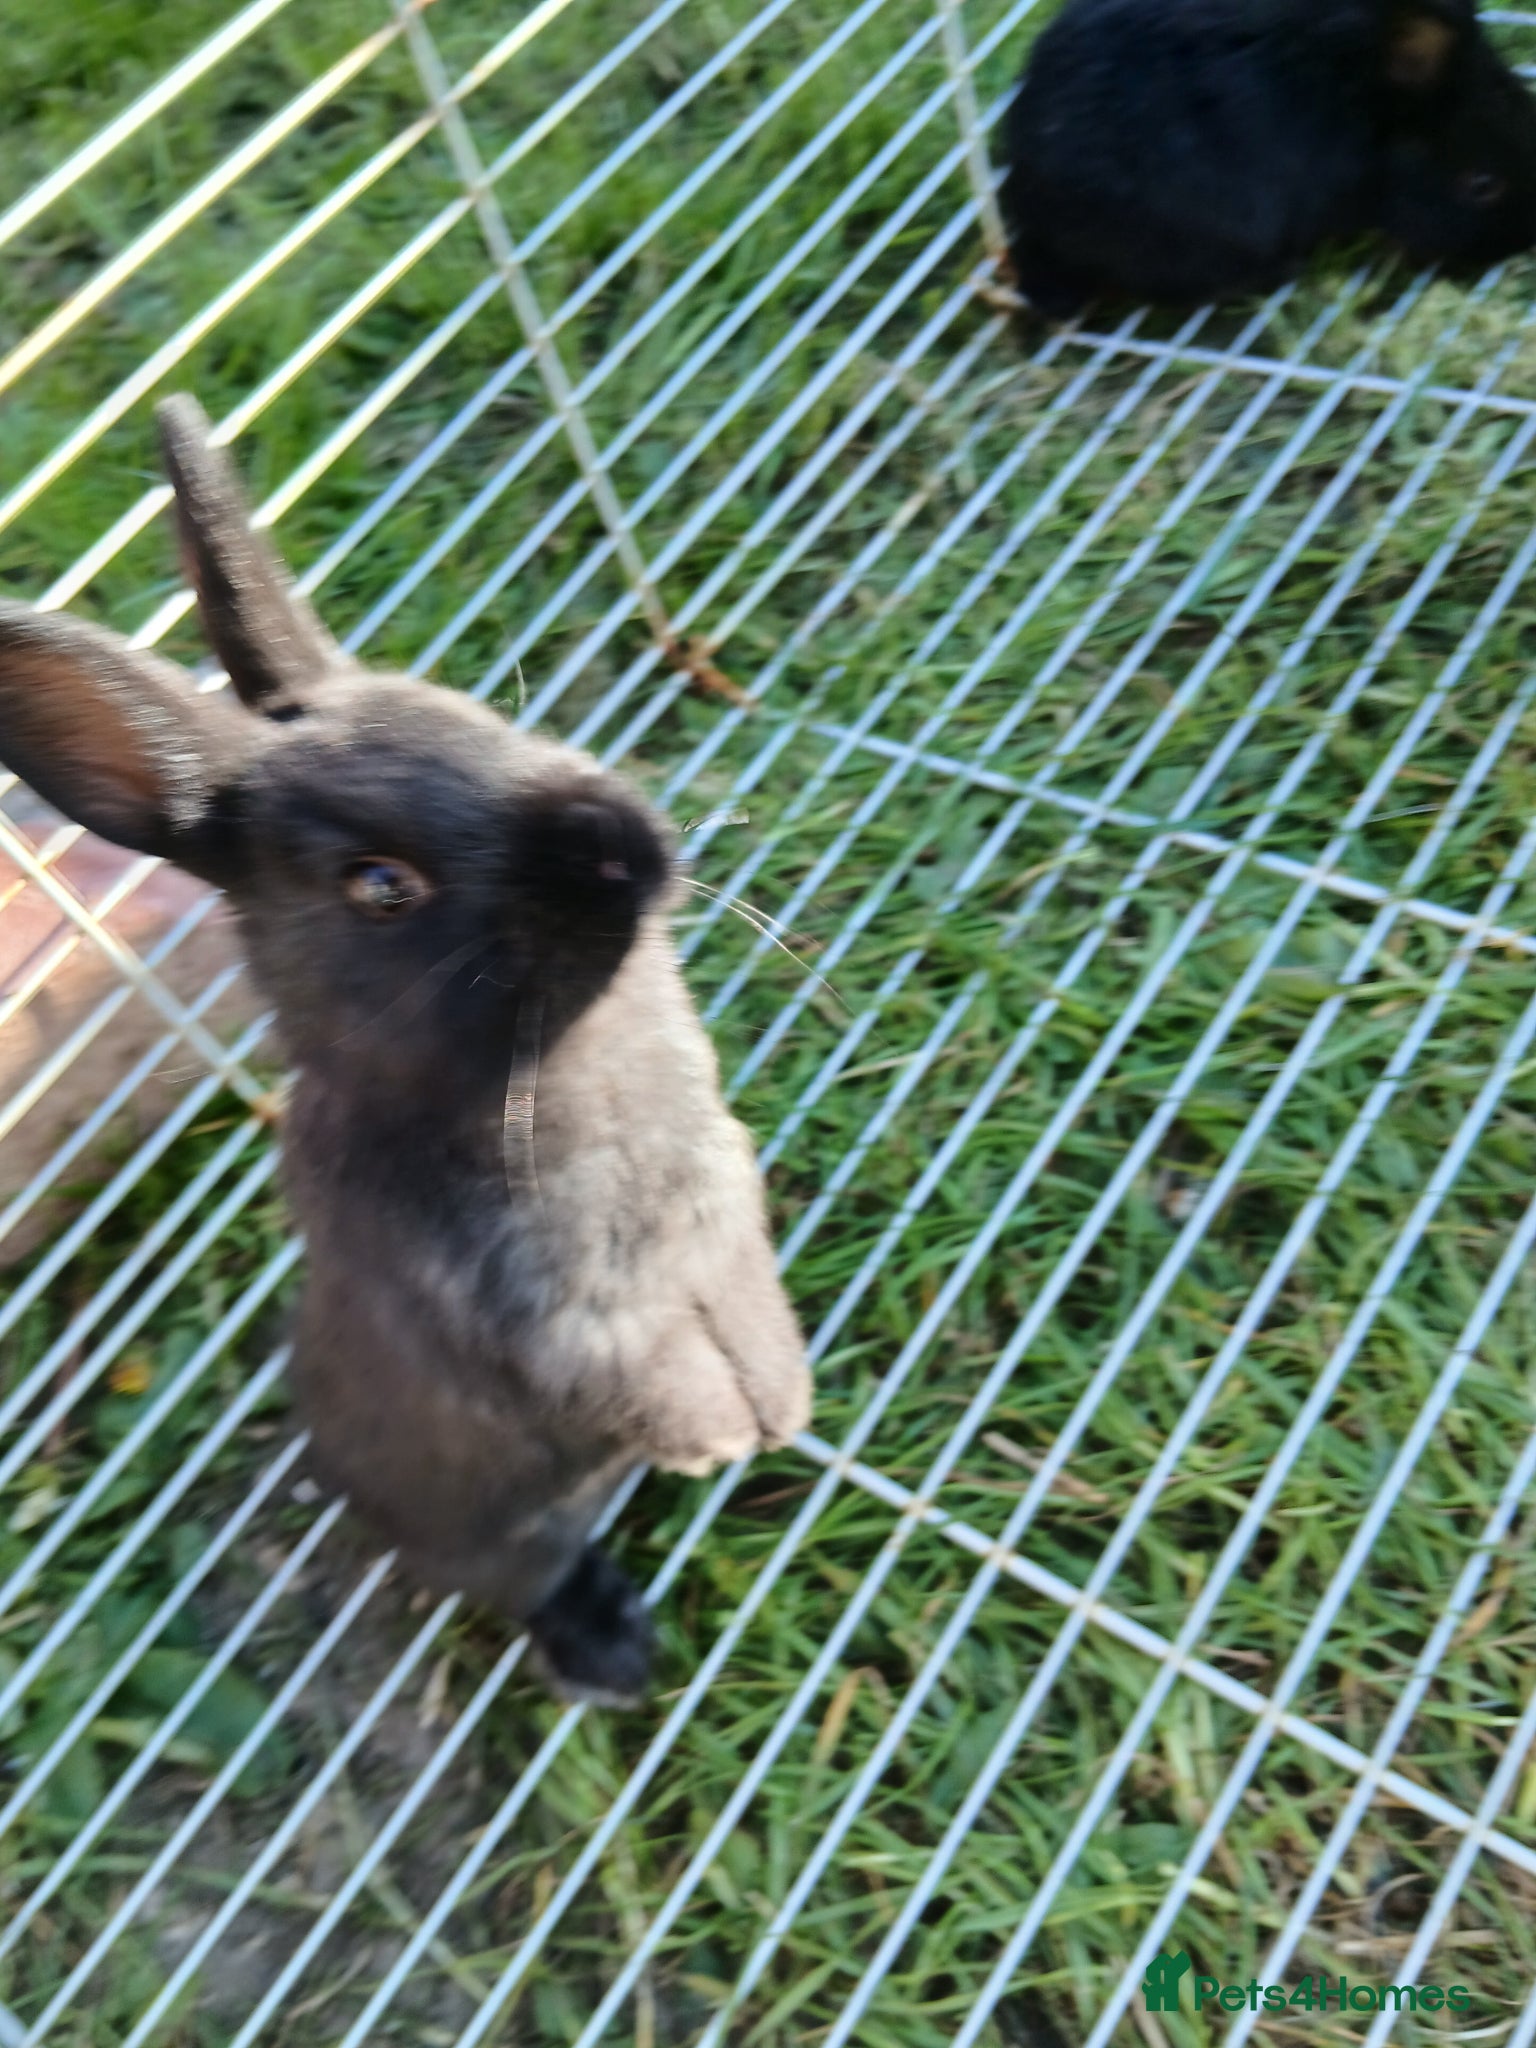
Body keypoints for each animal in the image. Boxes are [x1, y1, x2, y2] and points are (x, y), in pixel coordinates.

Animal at [0, 395, 812, 1706]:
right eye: (381, 885)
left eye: (478, 716)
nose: (623, 842)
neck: (543, 1057)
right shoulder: (566, 1314)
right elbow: (654, 1370)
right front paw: (724, 1435)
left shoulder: (719, 1203)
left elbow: (749, 1308)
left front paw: (784, 1406)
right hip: (504, 1534)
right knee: (536, 1580)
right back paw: (612, 1655)